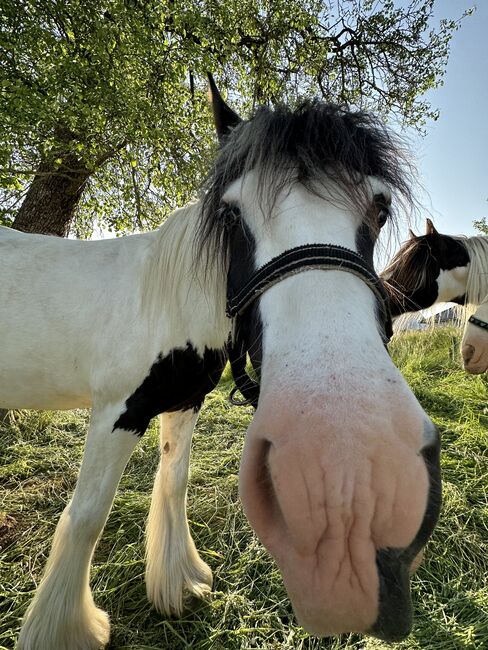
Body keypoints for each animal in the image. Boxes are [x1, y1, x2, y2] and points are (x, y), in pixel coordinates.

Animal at [0, 78, 442, 644]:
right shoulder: (117, 413)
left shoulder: (183, 403)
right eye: (232, 214)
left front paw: (180, 583)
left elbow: (174, 484)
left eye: (379, 207)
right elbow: (86, 517)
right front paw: (67, 632)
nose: (342, 458)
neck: (163, 301)